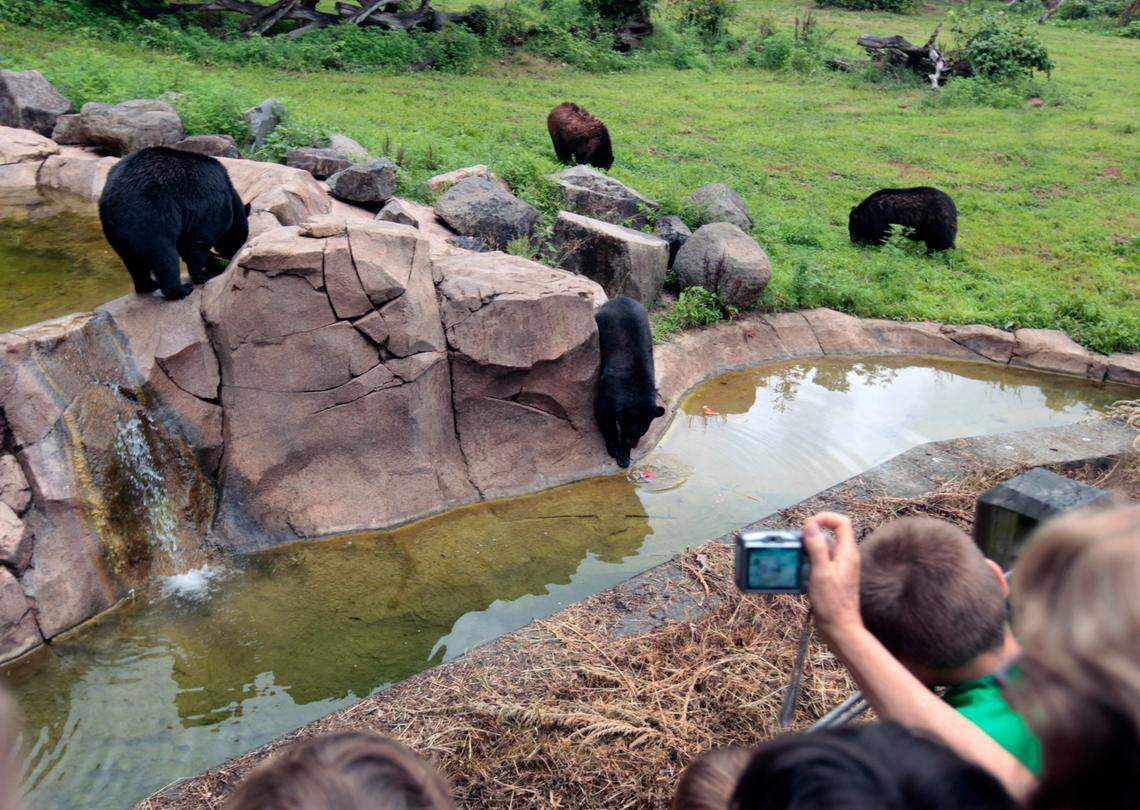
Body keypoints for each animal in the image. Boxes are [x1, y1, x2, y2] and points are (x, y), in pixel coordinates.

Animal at [99, 146, 250, 301]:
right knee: (164, 256)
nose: (231, 255)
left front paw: (212, 261)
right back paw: (181, 290)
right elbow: (198, 242)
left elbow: (184, 244)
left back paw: (148, 285)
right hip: (150, 215)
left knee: (133, 262)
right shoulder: (212, 206)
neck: (231, 194)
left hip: (114, 230)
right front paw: (203, 275)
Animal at [594, 296, 666, 469]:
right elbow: (603, 414)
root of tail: (621, 297)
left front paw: (625, 457)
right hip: (601, 321)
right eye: (631, 433)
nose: (633, 444)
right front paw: (615, 450)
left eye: (642, 432)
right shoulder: (610, 388)